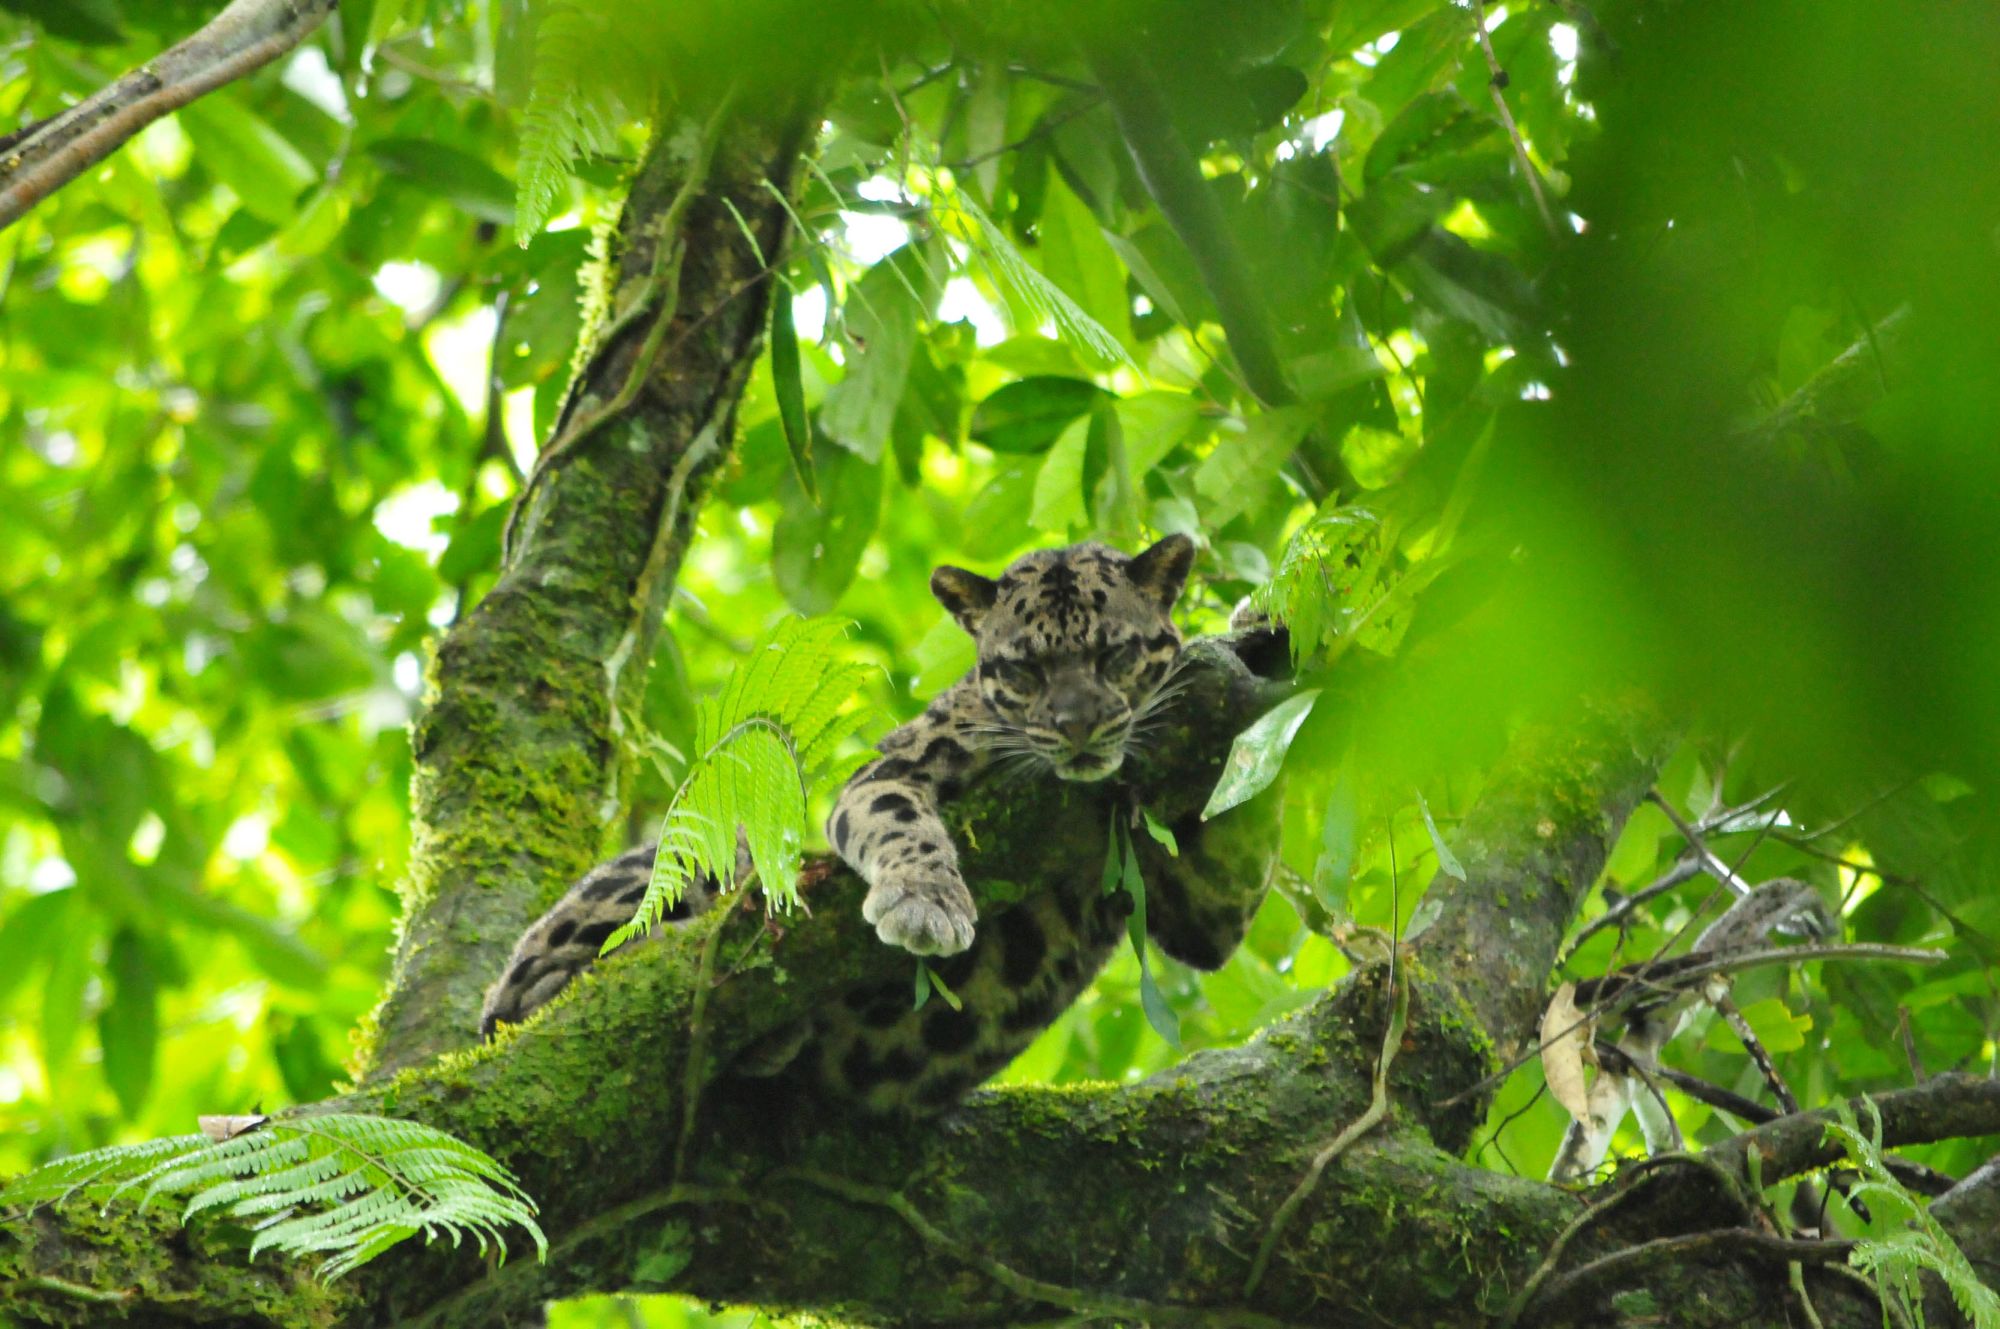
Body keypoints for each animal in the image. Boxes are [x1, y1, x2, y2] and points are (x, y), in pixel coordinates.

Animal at [479, 534, 1277, 1112]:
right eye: (1023, 671)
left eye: (1114, 654)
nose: (1076, 725)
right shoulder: (890, 772)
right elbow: (902, 826)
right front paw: (926, 902)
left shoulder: (1200, 909)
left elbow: (1242, 840)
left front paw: (1257, 629)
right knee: (543, 985)